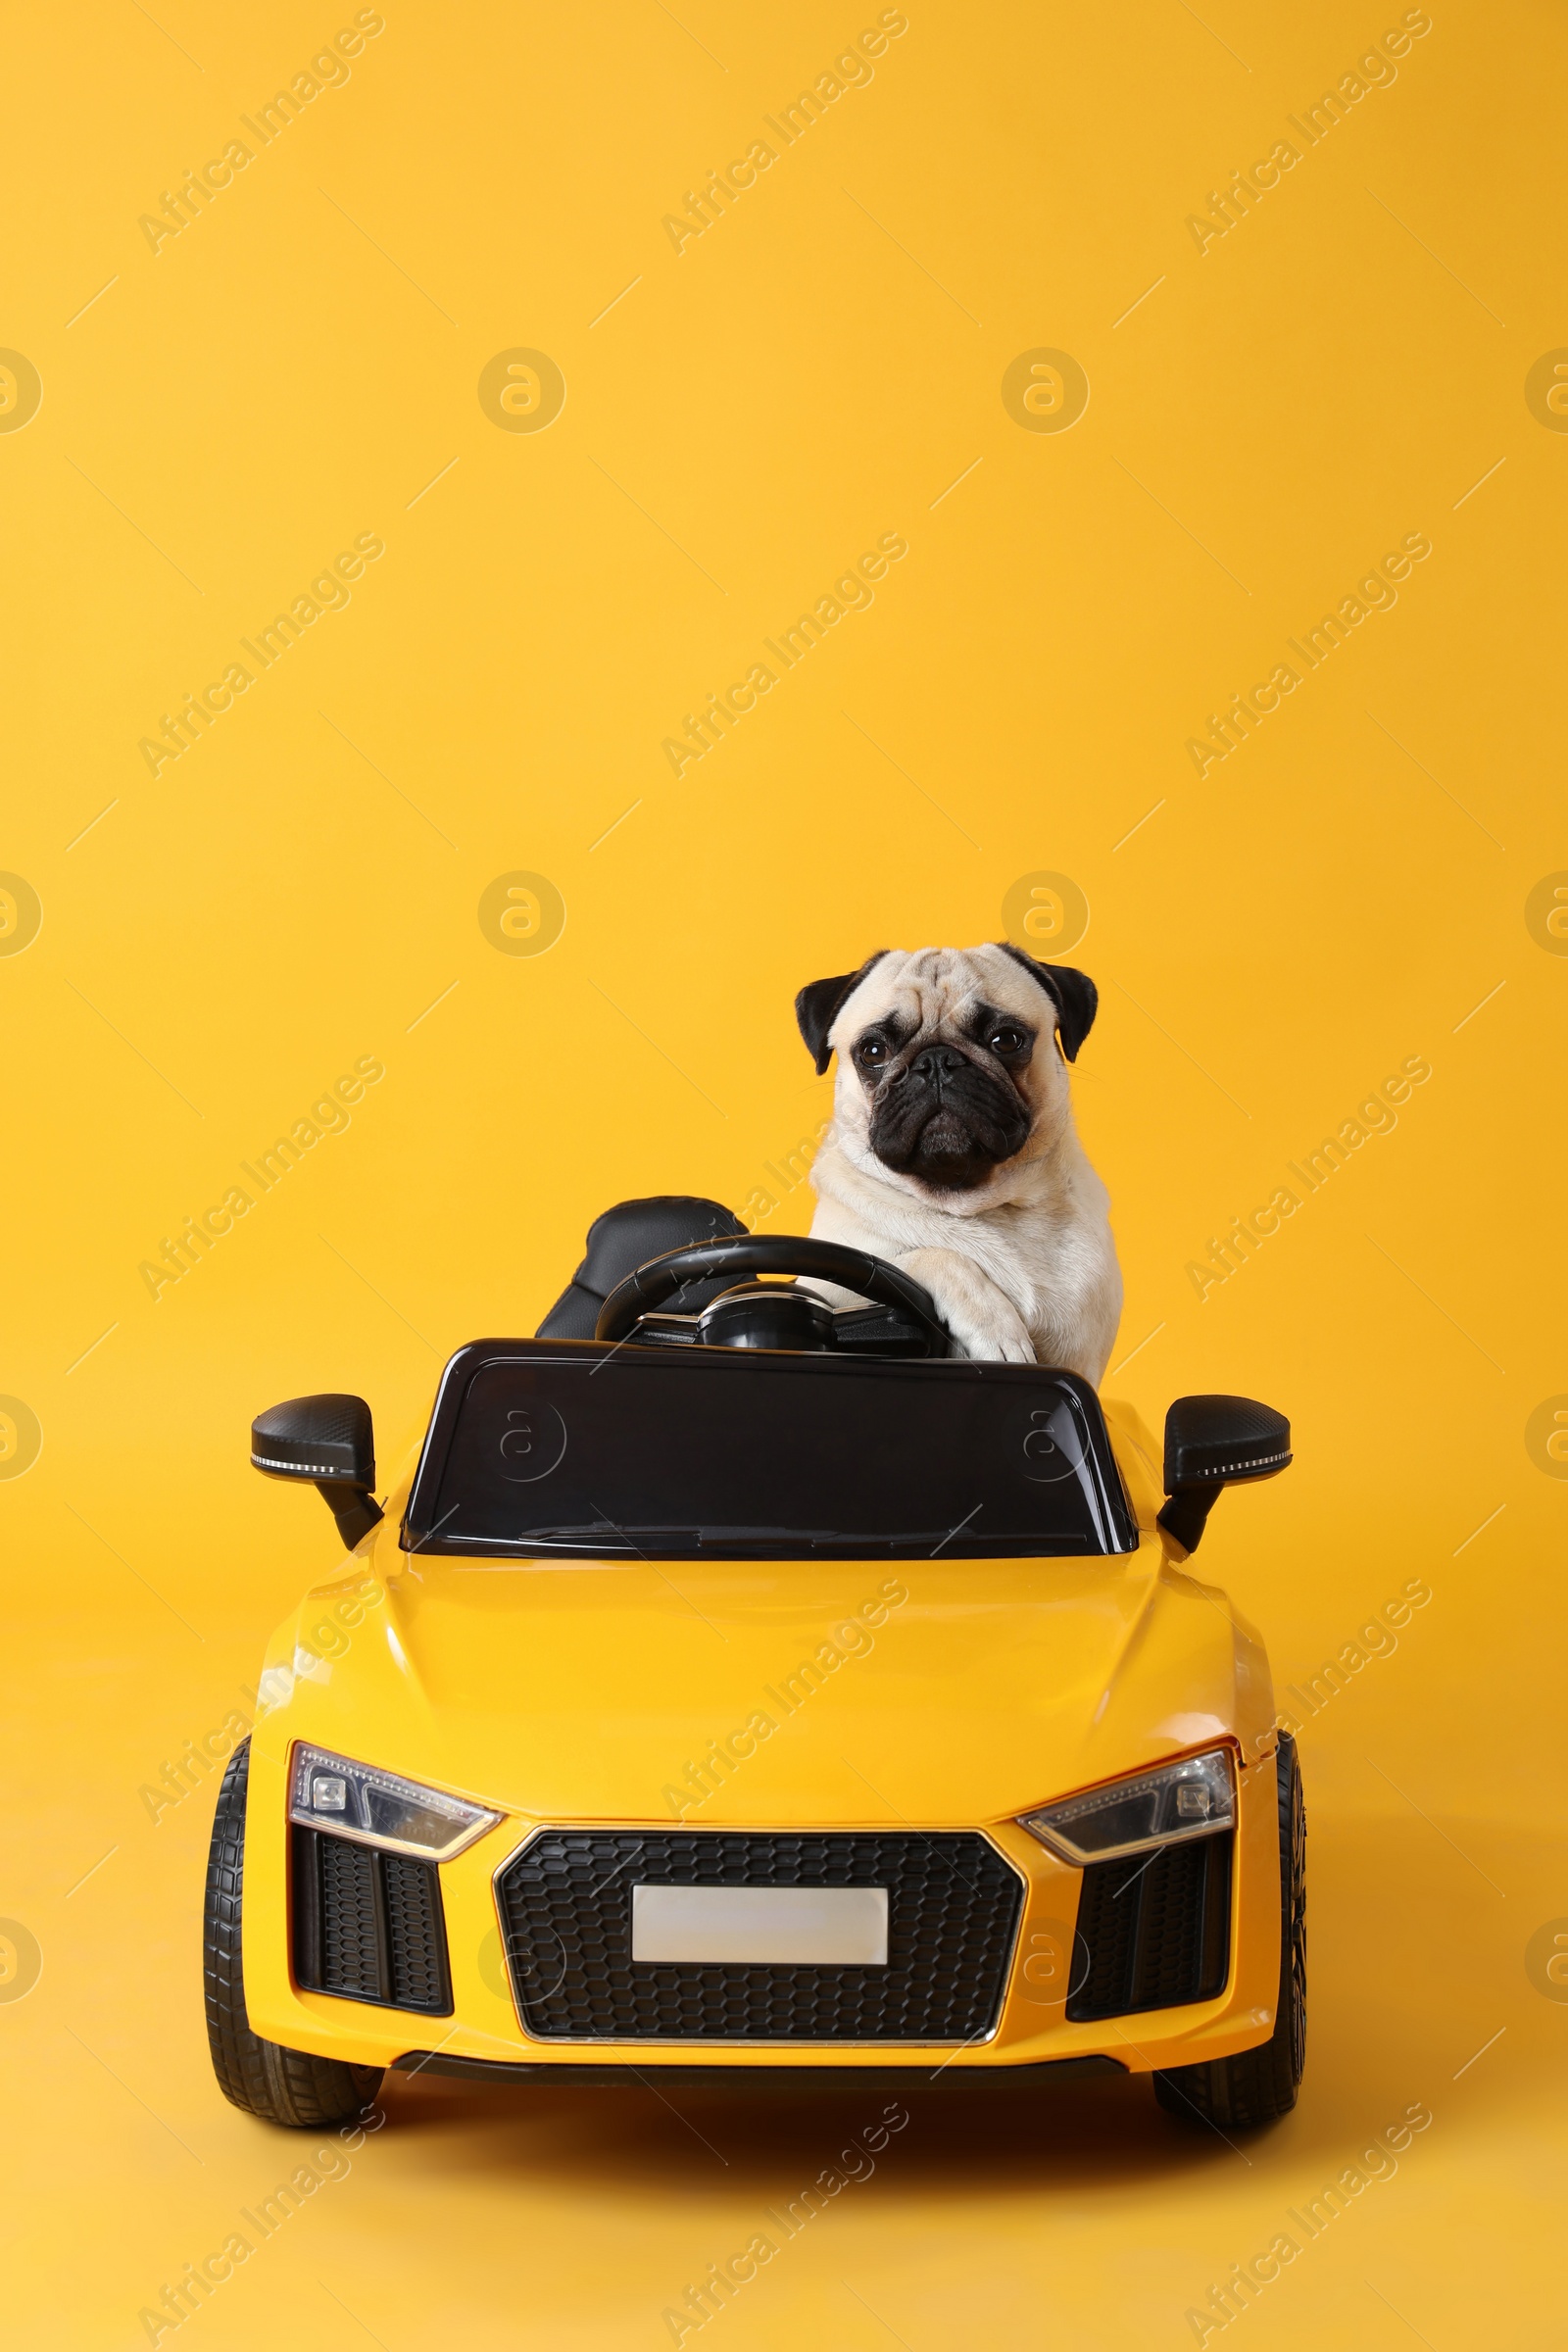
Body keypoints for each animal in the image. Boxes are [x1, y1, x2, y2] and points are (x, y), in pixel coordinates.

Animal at [804, 936, 1123, 1373]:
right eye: (872, 1052)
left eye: (1006, 1040)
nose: (936, 1061)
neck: (975, 1205)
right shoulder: (829, 1283)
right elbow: (929, 1257)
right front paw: (998, 1329)